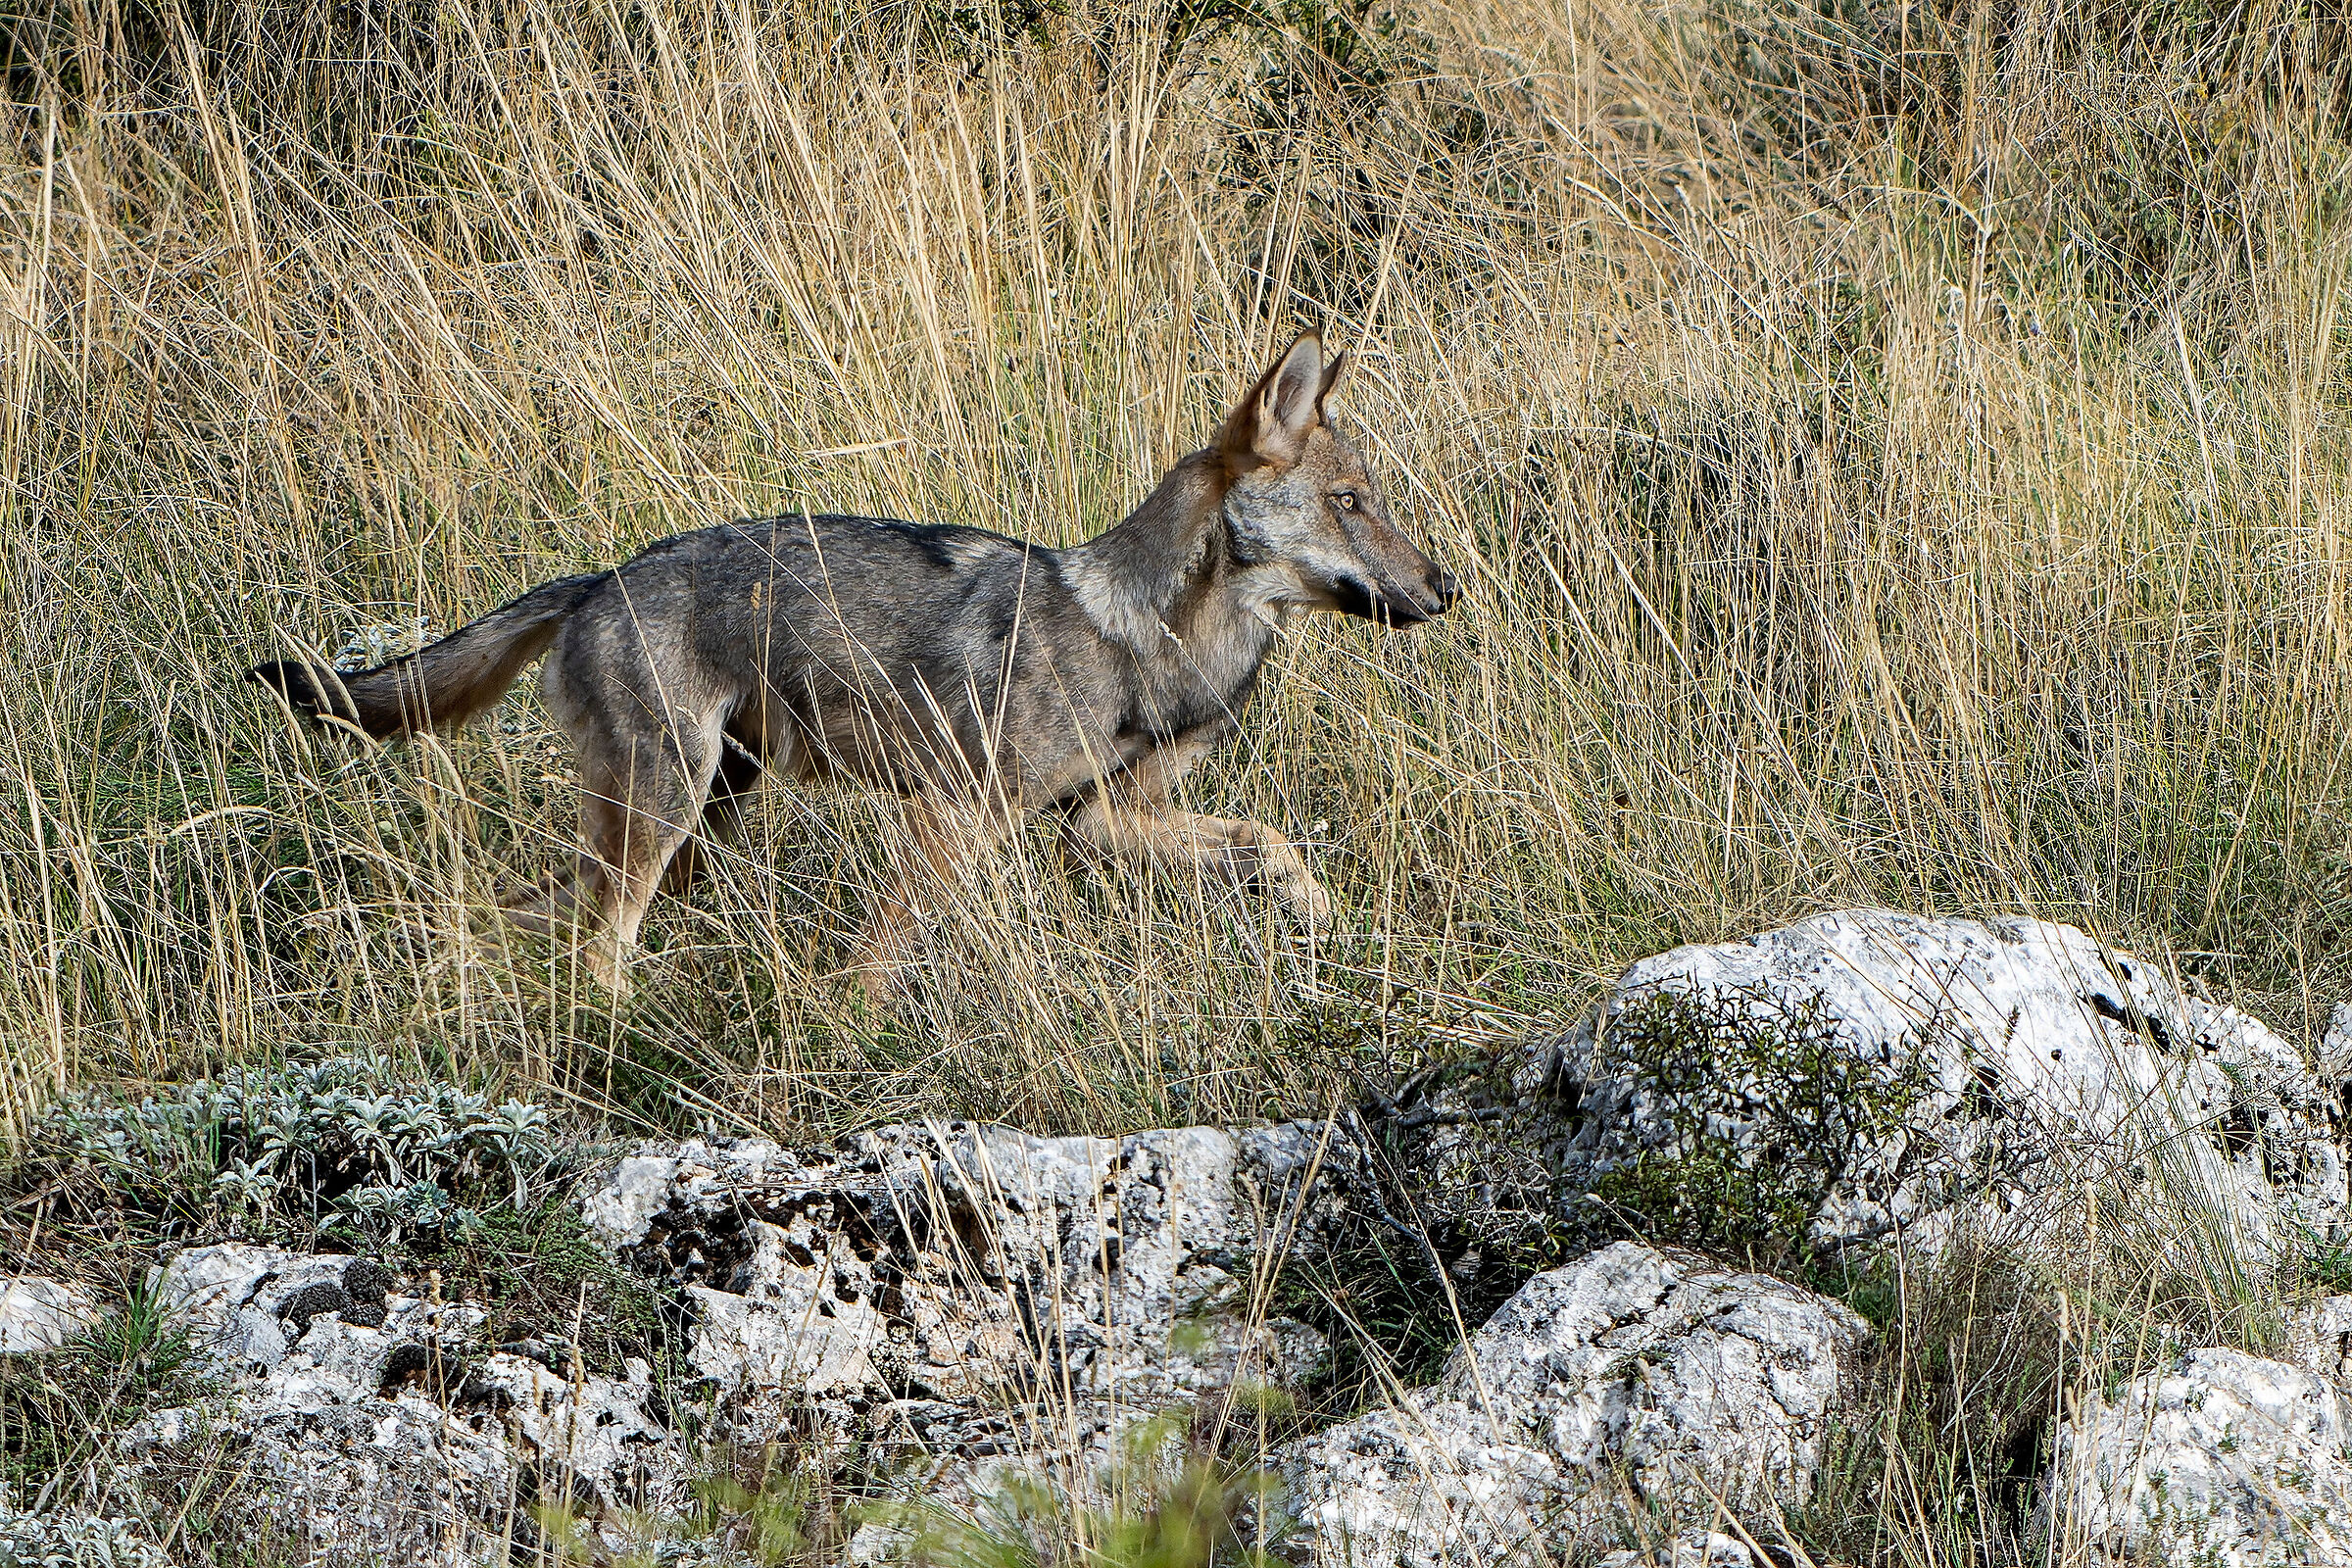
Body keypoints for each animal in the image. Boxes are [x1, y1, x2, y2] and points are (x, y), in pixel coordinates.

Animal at [250, 333, 1457, 995]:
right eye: (1353, 503)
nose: (1448, 588)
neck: (1146, 635)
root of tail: (595, 580)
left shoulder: (1103, 823)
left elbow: (1273, 842)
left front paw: (1326, 921)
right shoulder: (955, 816)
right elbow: (878, 964)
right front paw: (856, 1030)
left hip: (687, 830)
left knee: (526, 914)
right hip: (667, 823)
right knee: (598, 947)